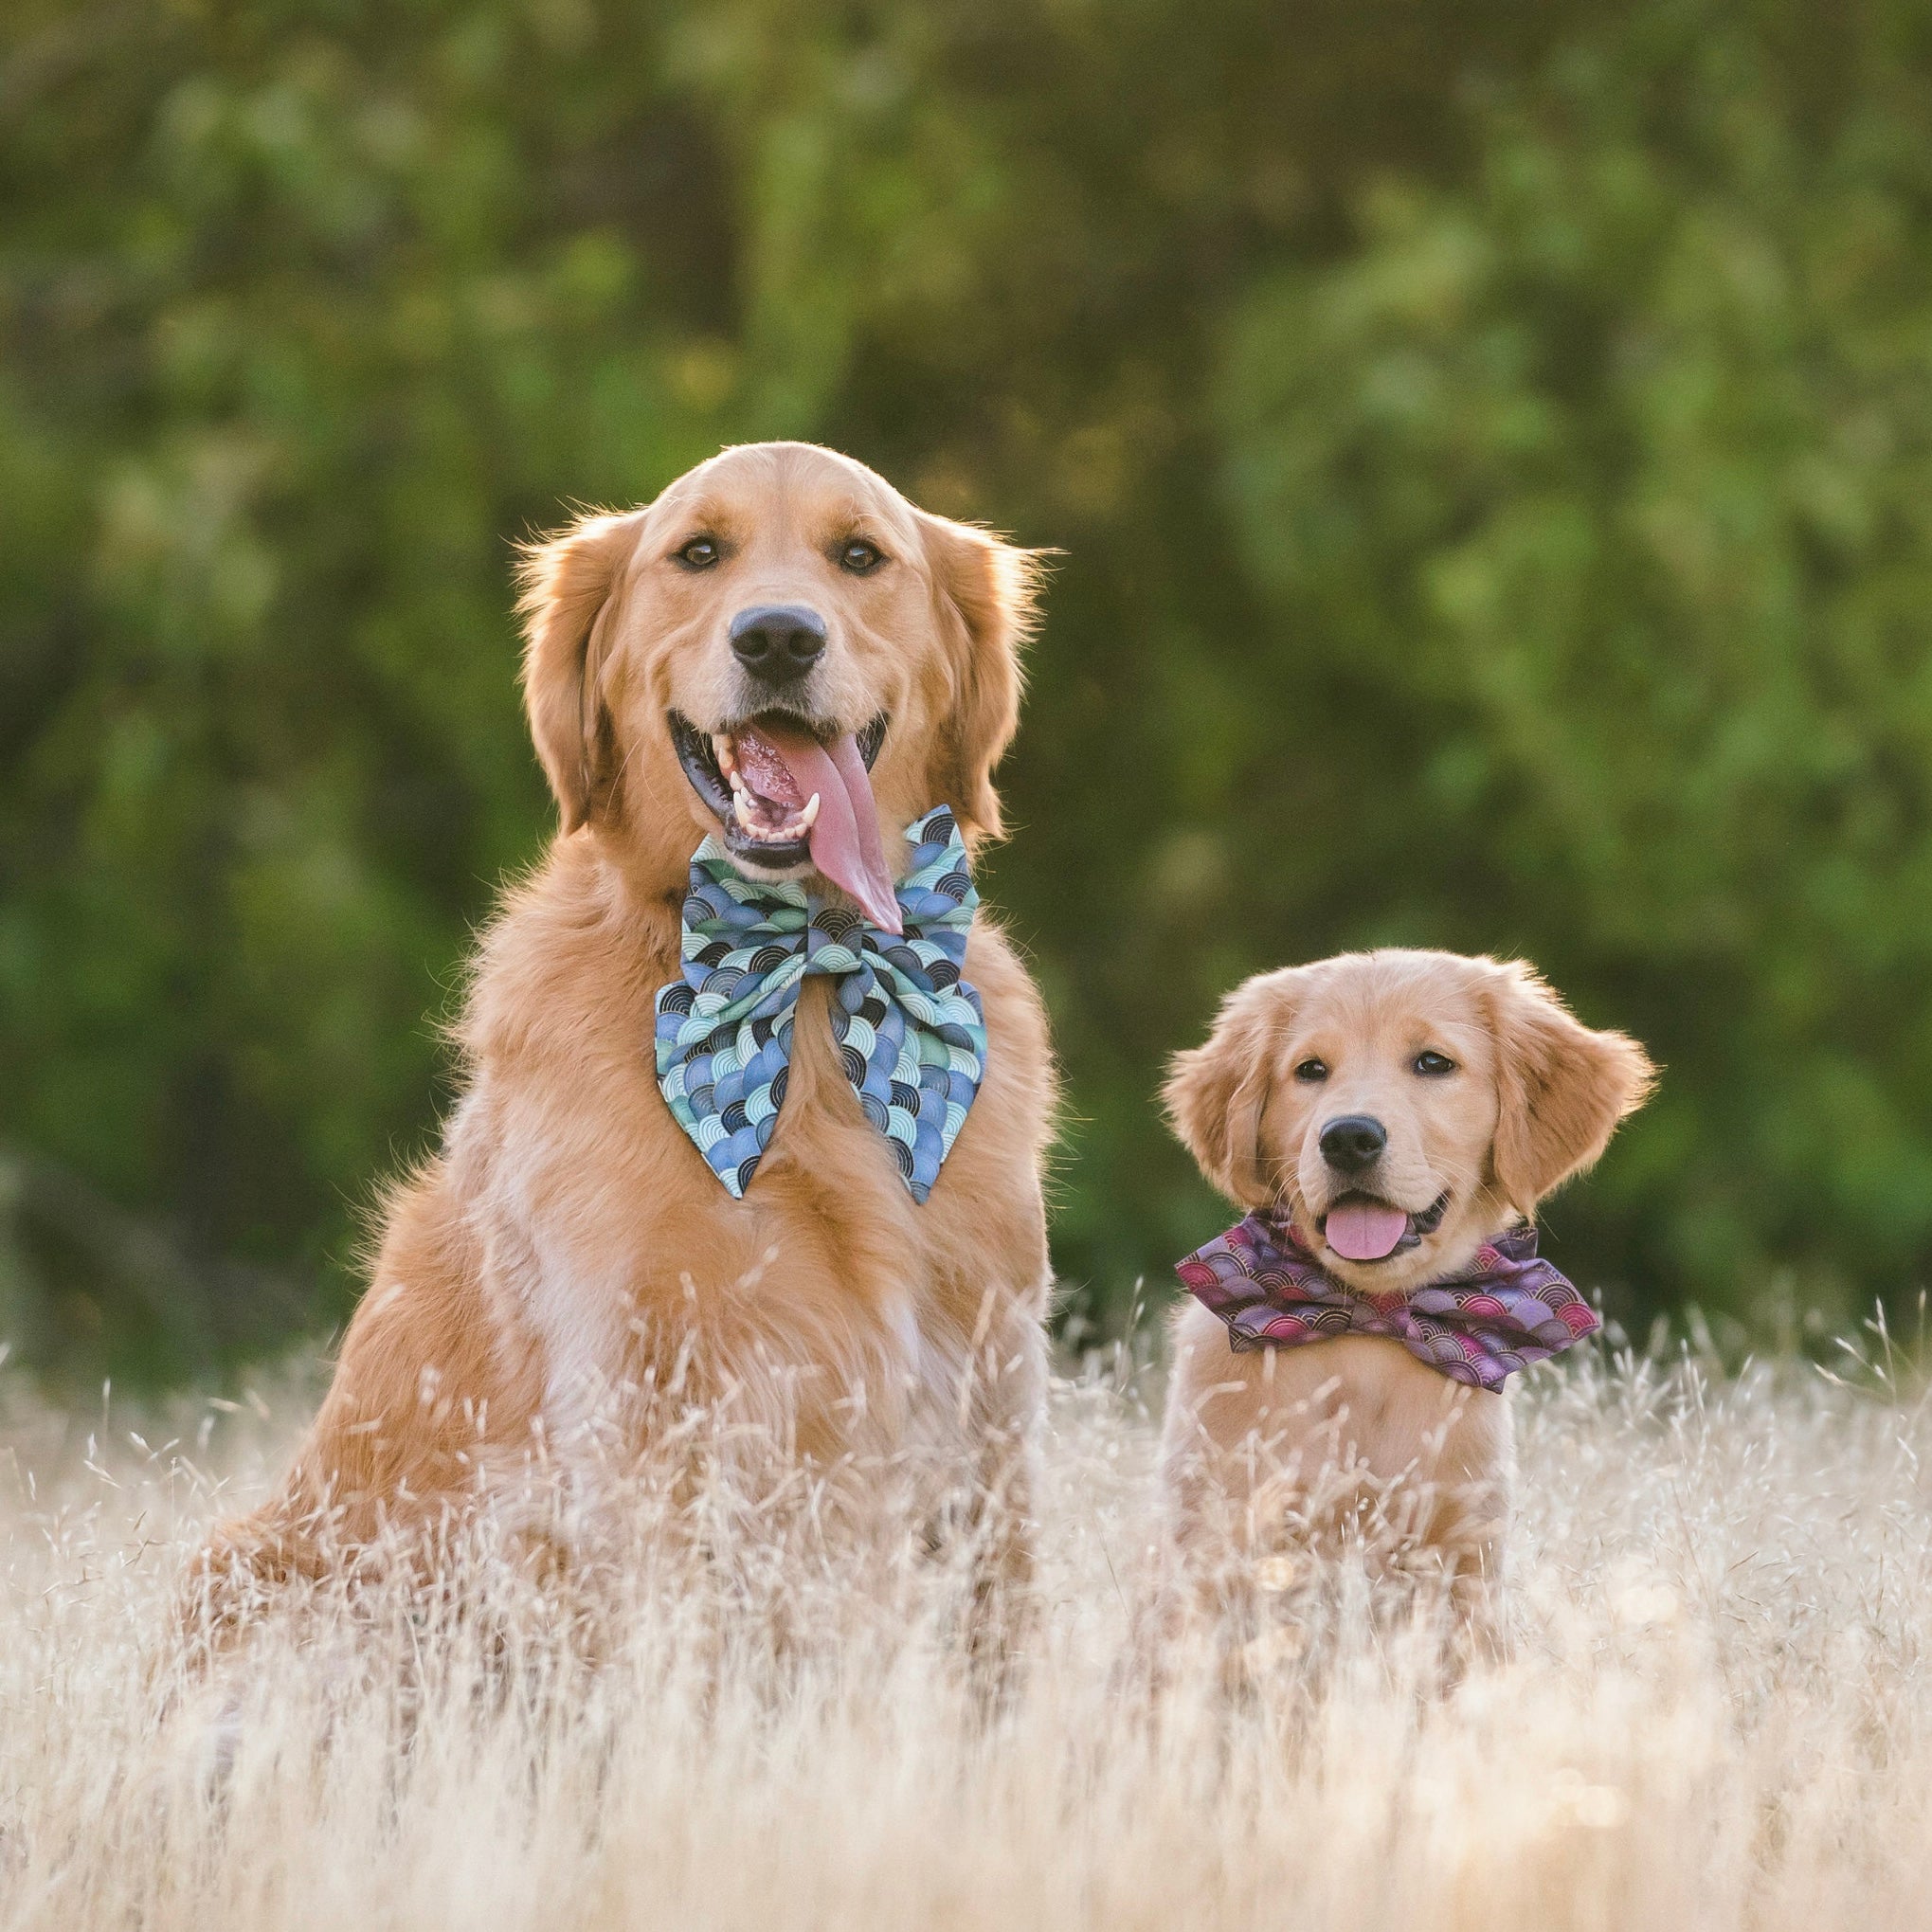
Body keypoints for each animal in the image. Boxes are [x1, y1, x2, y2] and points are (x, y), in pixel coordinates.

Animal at [188, 442, 1058, 1646]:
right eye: (697, 552)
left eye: (859, 555)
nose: (777, 636)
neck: (803, 979)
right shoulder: (643, 1410)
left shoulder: (989, 1395)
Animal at [1151, 950, 1653, 1646]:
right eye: (1310, 1070)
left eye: (1432, 1063)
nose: (1347, 1138)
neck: (1370, 1326)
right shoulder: (1220, 1532)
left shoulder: (1461, 1555)